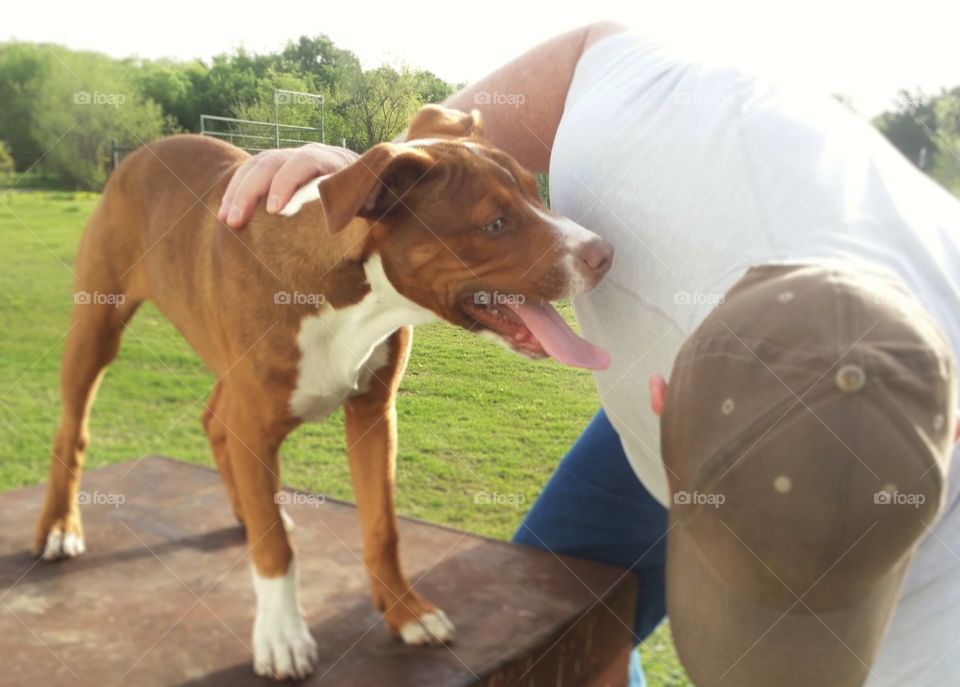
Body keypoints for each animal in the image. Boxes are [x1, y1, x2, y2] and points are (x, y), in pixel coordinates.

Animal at [35, 105, 616, 680]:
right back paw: (61, 527)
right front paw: (282, 637)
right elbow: (276, 551)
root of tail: (144, 152)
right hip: (96, 327)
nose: (606, 253)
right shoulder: (258, 422)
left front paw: (405, 611)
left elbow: (382, 528)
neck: (350, 297)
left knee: (214, 422)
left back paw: (245, 511)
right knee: (73, 429)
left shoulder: (373, 416)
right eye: (494, 224)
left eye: (535, 194)